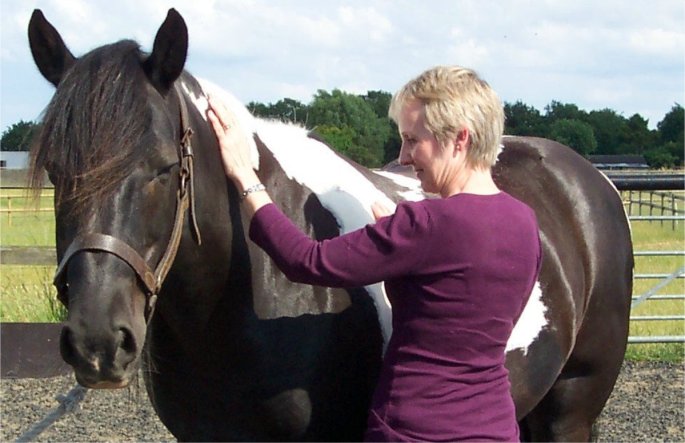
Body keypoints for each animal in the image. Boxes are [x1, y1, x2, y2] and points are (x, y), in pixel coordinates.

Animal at [27, 8, 633, 441]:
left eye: (163, 168)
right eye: (56, 171)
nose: (98, 341)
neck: (253, 291)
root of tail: (590, 181)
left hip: (570, 408)